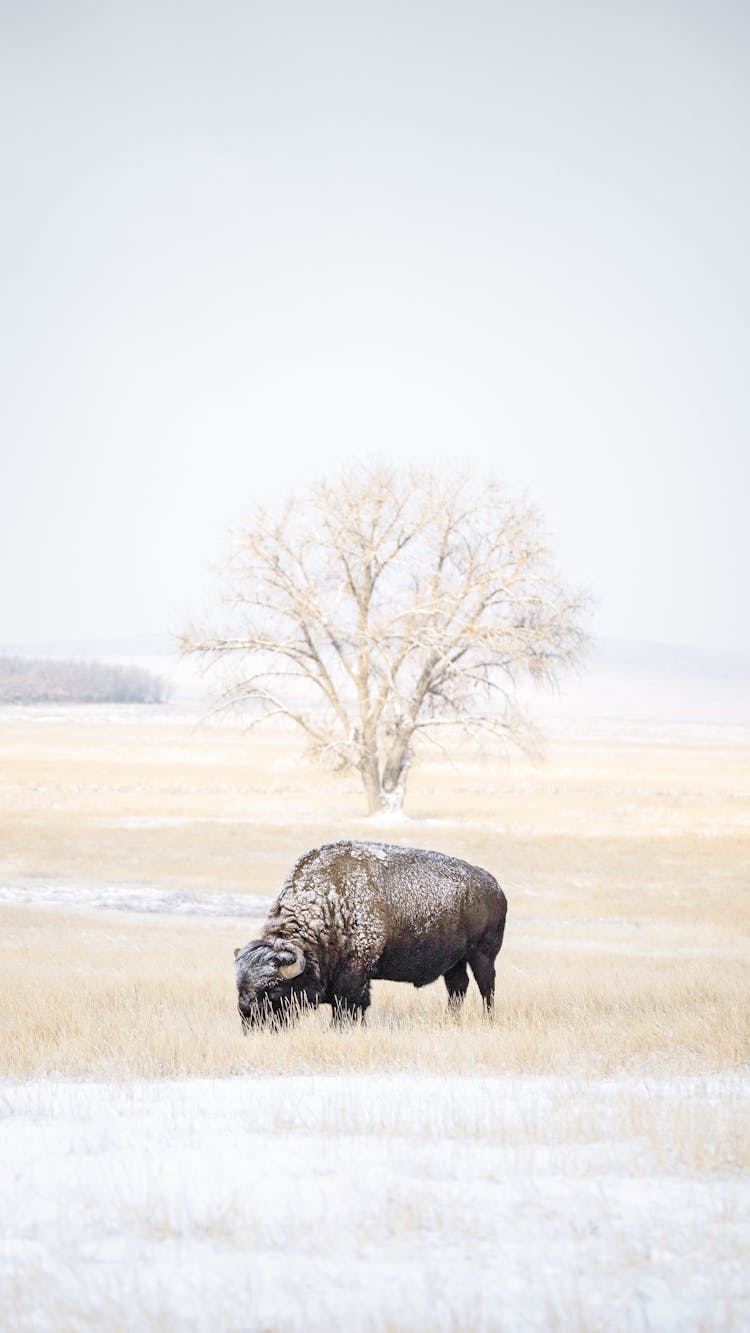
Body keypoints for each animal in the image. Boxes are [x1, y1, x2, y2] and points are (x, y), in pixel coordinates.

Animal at [231, 842, 508, 1029]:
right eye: (240, 986)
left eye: (275, 989)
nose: (249, 1019)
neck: (332, 904)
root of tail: (494, 886)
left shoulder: (356, 973)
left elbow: (350, 1006)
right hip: (455, 962)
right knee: (458, 988)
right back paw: (450, 1019)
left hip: (482, 955)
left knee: (486, 987)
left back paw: (488, 1019)